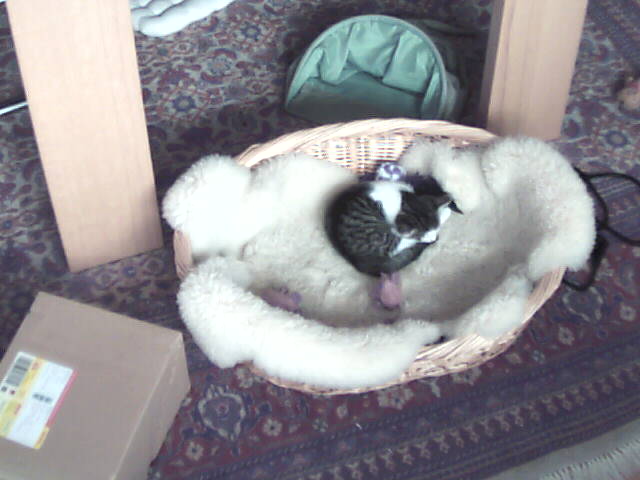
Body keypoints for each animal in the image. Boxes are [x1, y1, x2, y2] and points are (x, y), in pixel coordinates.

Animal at [325, 179, 459, 276]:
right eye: (421, 235)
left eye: (435, 228)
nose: (433, 239)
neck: (403, 201)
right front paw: (445, 213)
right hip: (375, 237)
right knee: (395, 247)